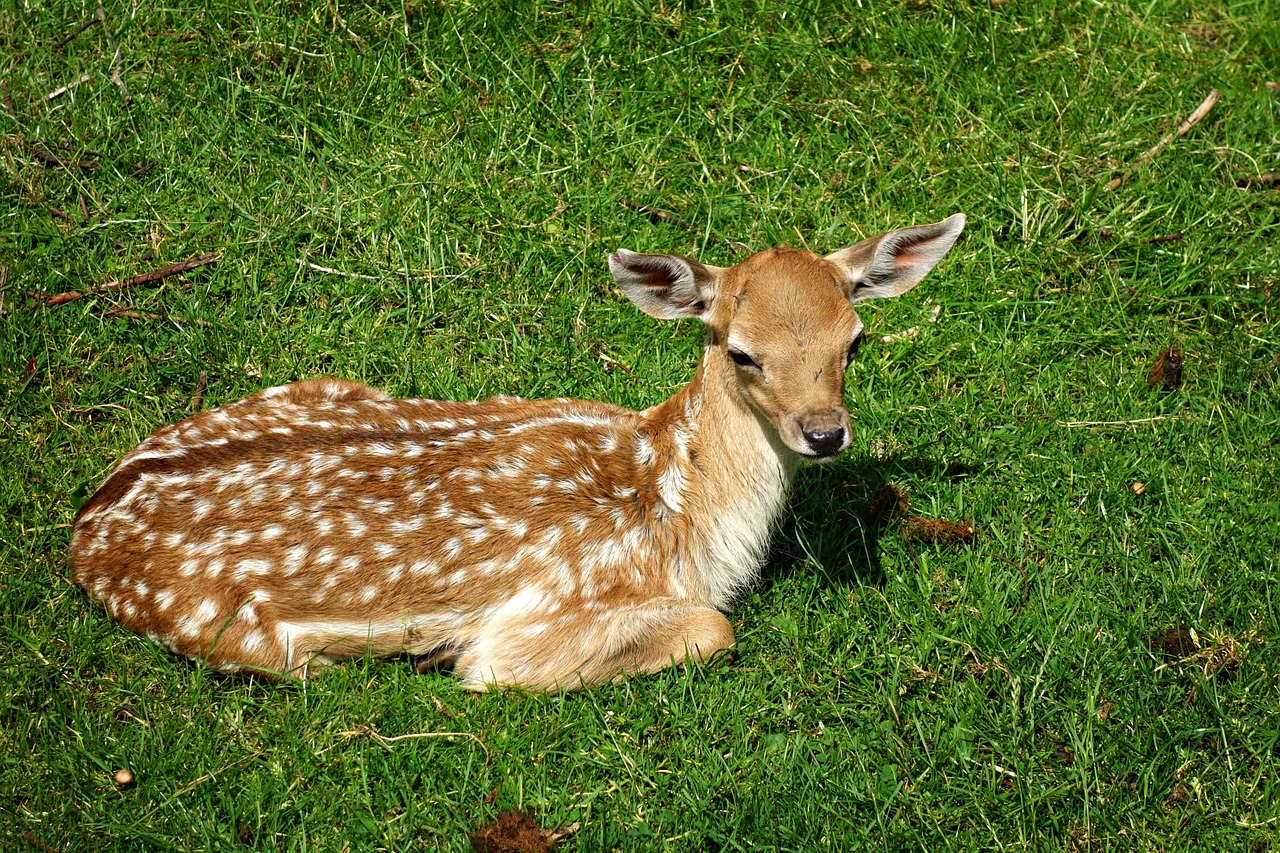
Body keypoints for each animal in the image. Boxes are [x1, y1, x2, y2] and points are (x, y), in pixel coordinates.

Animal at [70, 213, 962, 691]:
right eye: (742, 352)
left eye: (856, 339)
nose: (825, 432)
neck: (680, 506)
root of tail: (87, 524)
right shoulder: (546, 613)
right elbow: (714, 627)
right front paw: (446, 655)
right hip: (222, 629)